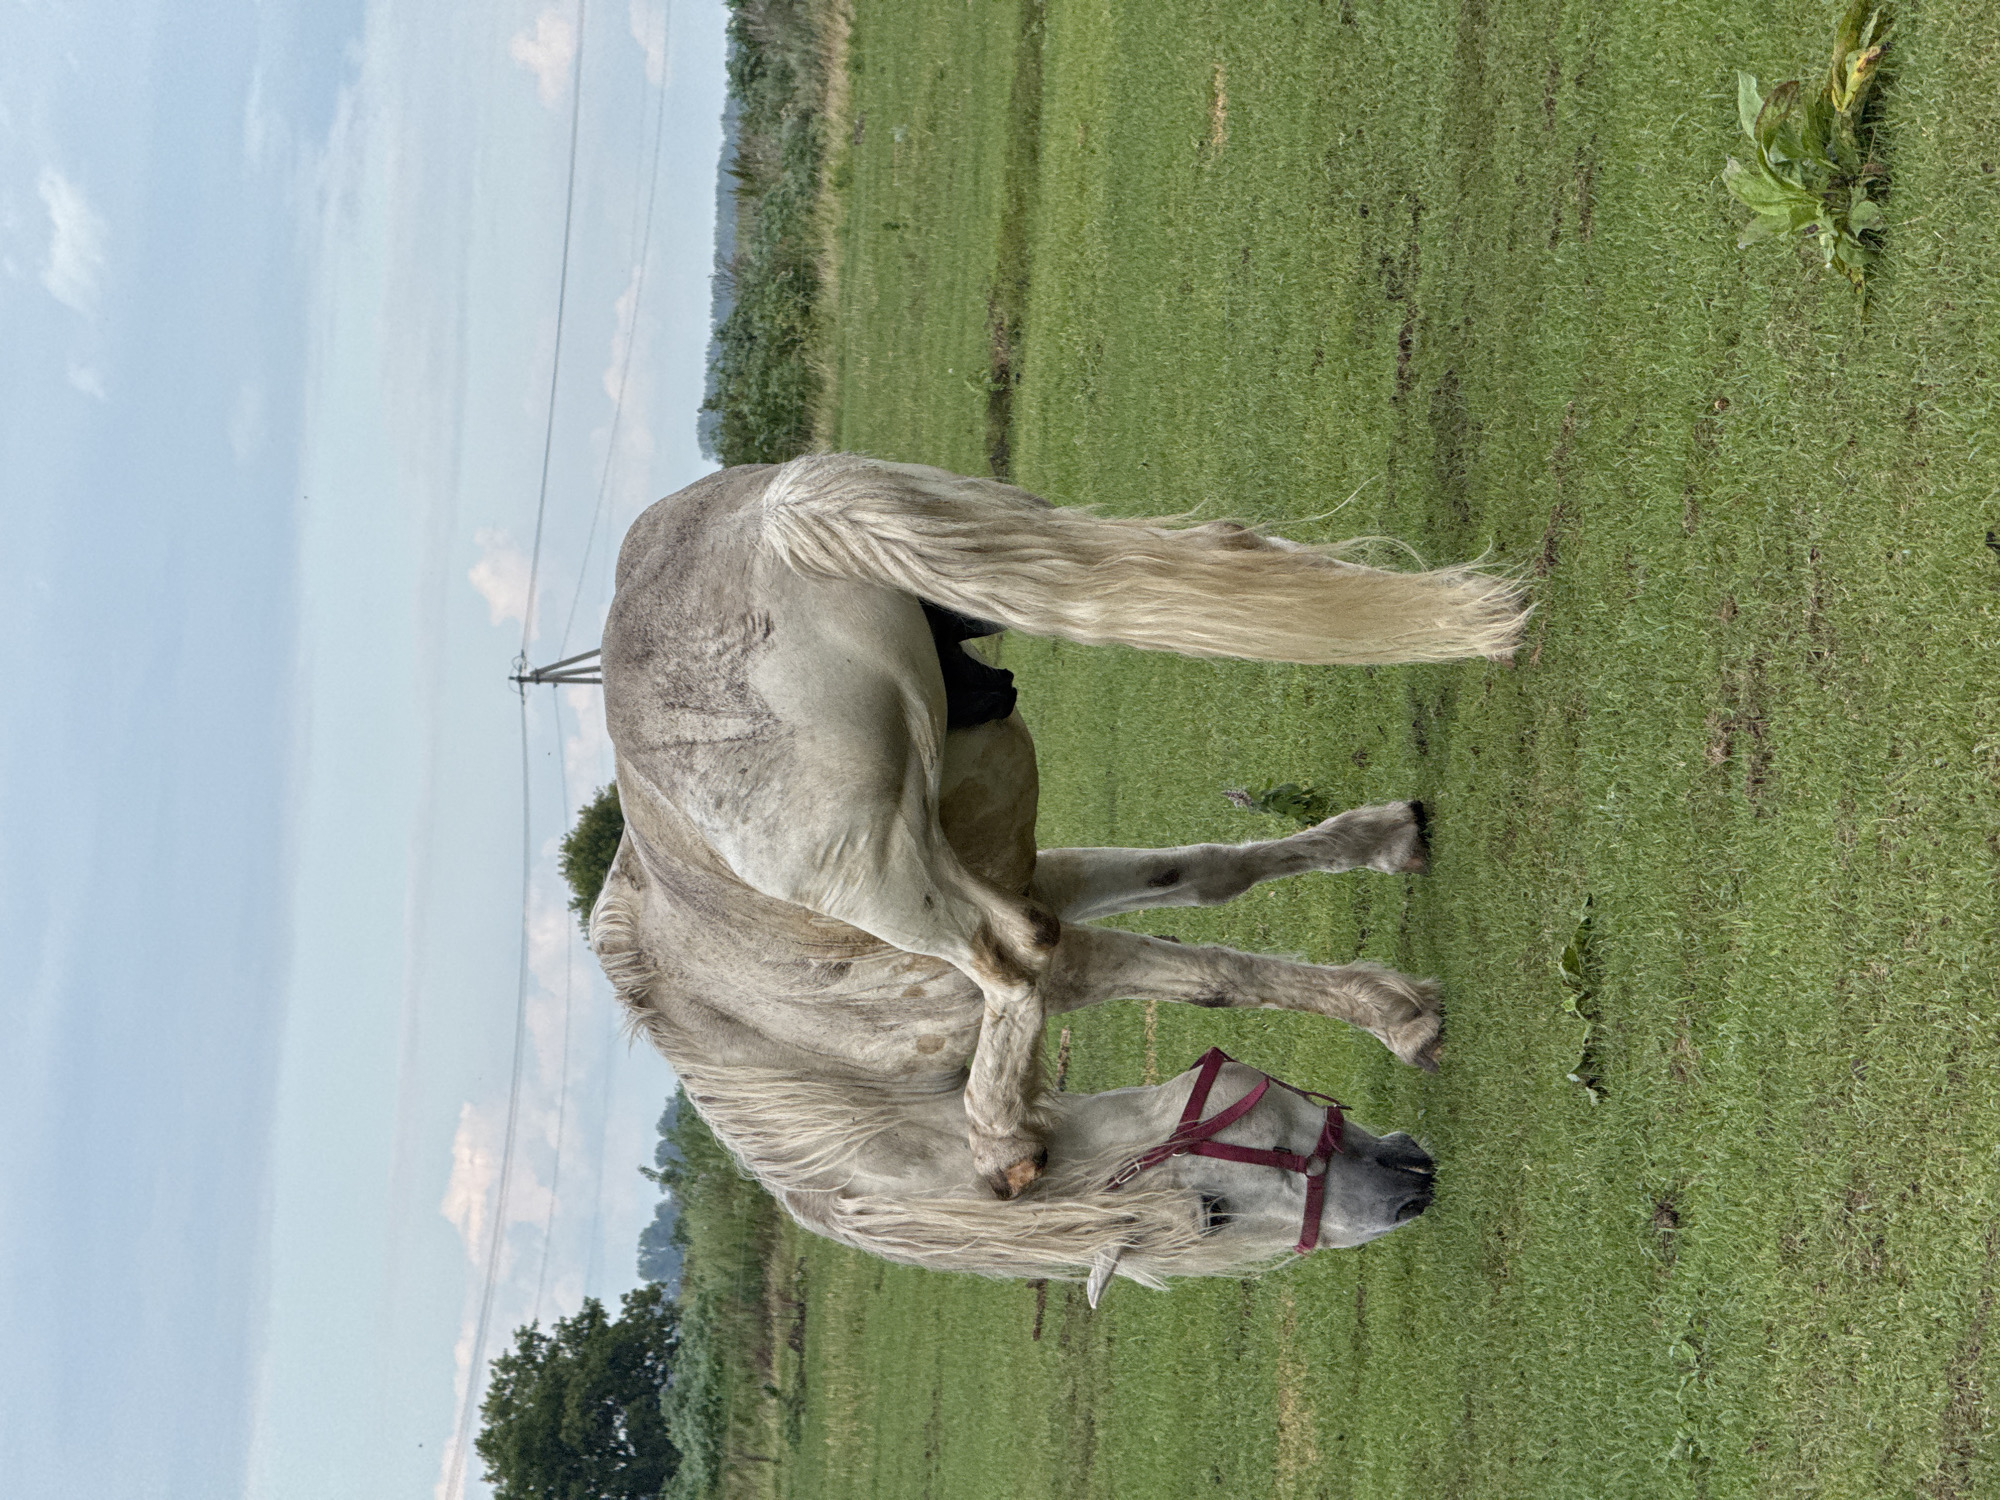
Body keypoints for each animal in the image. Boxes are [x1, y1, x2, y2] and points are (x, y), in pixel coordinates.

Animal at [590, 454, 1524, 1298]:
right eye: (1213, 1214)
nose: (1407, 1191)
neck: (809, 1069)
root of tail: (766, 516)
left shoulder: (1042, 936)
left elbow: (1204, 971)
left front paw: (1398, 1013)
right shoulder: (1048, 884)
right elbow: (1205, 884)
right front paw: (1387, 858)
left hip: (878, 872)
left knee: (1013, 956)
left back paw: (998, 1133)